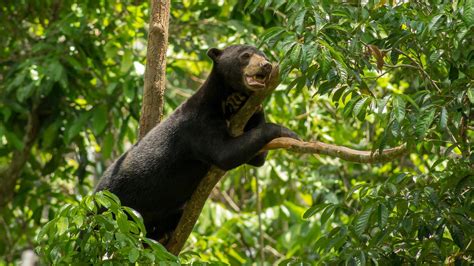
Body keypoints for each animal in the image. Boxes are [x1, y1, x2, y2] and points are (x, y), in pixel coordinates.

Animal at [94, 44, 298, 242]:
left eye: (264, 56)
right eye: (245, 55)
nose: (266, 65)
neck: (221, 101)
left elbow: (257, 158)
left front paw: (246, 103)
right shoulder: (198, 124)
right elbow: (225, 154)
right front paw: (289, 133)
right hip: (114, 206)